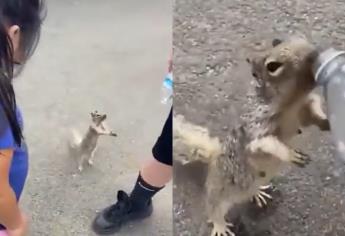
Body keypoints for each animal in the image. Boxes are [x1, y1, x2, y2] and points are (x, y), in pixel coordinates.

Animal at [173, 36, 330, 236]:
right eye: (272, 66)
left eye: (300, 39)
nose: (315, 54)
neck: (291, 104)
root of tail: (214, 159)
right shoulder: (255, 131)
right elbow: (268, 144)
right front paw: (290, 154)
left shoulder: (304, 110)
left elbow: (314, 112)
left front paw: (326, 122)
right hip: (219, 191)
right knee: (214, 208)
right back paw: (220, 226)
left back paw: (258, 193)